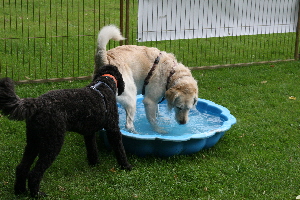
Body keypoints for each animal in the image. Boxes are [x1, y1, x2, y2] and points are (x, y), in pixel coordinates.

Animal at [0, 64, 132, 197]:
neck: (104, 83)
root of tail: (37, 103)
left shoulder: (89, 133)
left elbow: (92, 150)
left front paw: (94, 163)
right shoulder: (113, 129)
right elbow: (120, 149)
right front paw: (126, 166)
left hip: (33, 142)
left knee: (21, 168)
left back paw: (20, 191)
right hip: (52, 143)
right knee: (34, 173)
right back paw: (37, 194)